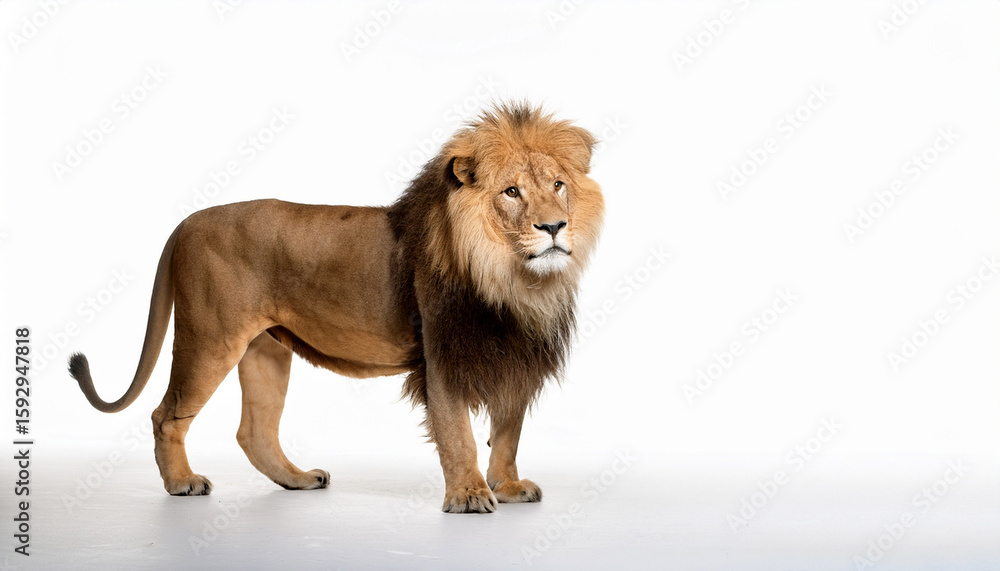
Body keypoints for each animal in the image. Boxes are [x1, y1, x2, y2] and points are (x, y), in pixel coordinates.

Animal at [69, 102, 604, 513]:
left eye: (558, 185)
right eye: (511, 192)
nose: (554, 227)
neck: (512, 279)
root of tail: (186, 222)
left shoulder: (517, 354)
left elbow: (508, 432)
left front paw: (508, 487)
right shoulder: (443, 354)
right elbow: (458, 433)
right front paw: (470, 496)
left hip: (266, 349)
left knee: (254, 431)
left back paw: (298, 479)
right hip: (210, 337)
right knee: (167, 415)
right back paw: (182, 483)